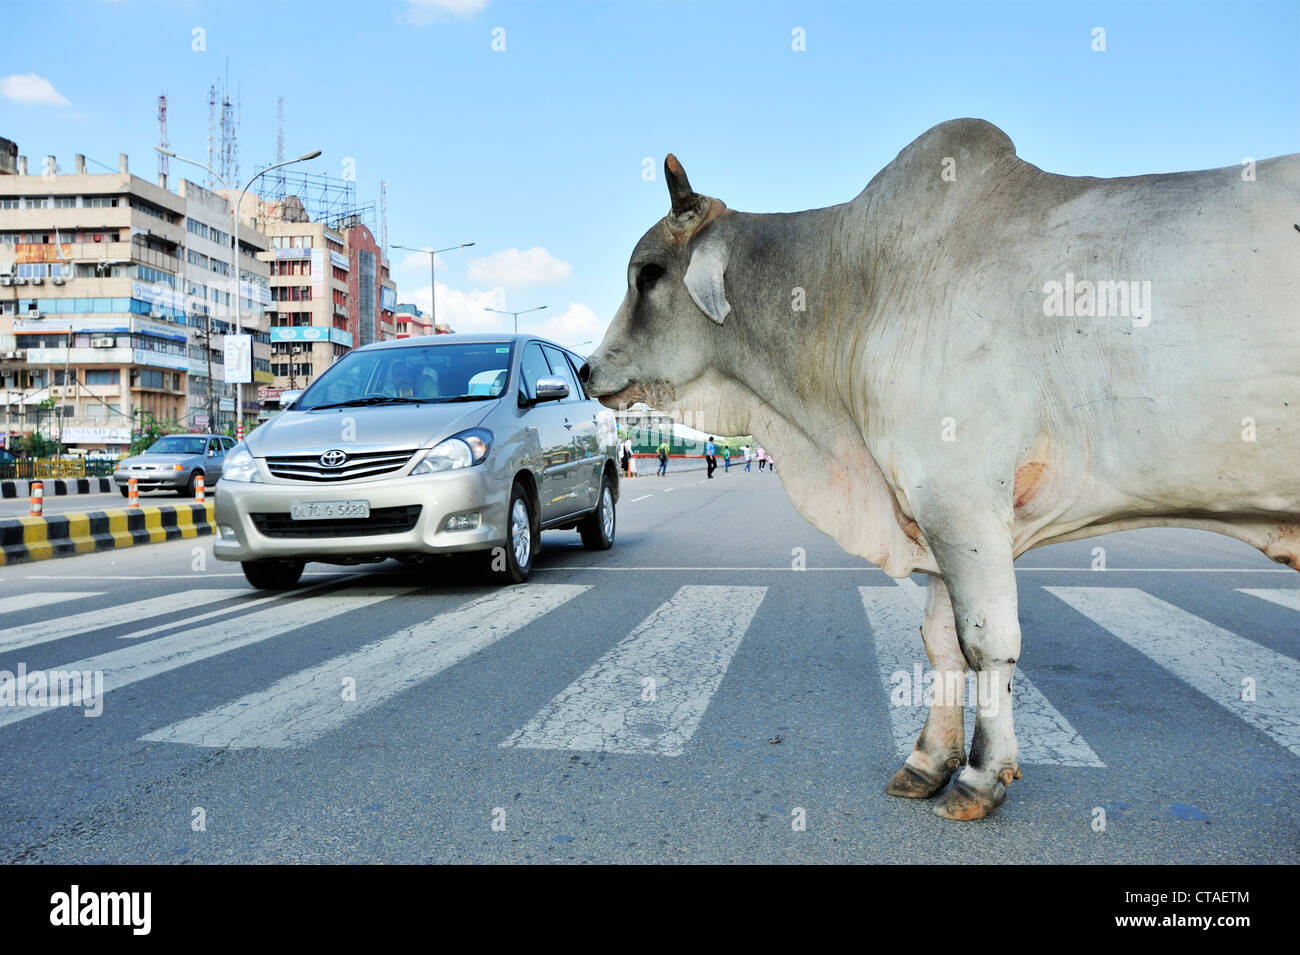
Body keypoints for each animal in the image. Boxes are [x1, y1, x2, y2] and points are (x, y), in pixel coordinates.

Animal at [585, 119, 1300, 821]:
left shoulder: (962, 499)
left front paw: (981, 775)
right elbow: (939, 641)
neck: (859, 288)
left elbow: (985, 640)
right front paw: (928, 761)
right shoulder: (929, 511)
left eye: (649, 273)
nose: (588, 370)